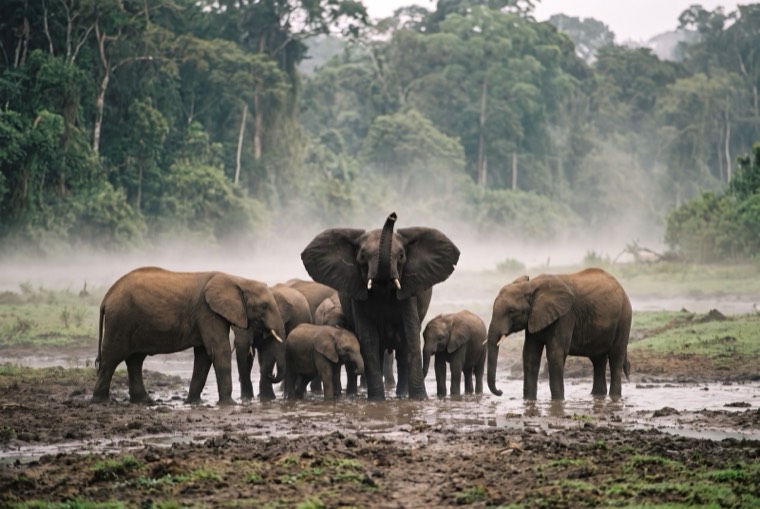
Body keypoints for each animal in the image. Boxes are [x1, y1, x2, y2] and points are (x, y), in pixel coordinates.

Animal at [92, 267, 286, 405]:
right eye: (264, 306)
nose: (271, 375)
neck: (238, 279)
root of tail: (106, 297)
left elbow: (204, 355)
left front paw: (194, 402)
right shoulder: (207, 311)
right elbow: (219, 350)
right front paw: (229, 404)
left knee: (135, 360)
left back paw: (144, 401)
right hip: (120, 320)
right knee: (111, 358)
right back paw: (101, 401)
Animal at [301, 212, 460, 400]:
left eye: (401, 256)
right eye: (362, 256)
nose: (393, 216)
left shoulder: (408, 291)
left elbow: (411, 335)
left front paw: (420, 399)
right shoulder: (358, 294)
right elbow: (368, 339)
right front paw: (377, 400)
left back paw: (401, 396)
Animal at [486, 267, 632, 401]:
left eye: (511, 311)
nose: (501, 392)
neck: (531, 286)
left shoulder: (565, 316)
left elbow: (555, 353)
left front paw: (558, 401)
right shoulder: (534, 318)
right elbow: (530, 354)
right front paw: (528, 400)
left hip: (624, 317)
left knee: (615, 357)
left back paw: (614, 396)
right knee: (598, 360)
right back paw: (597, 396)